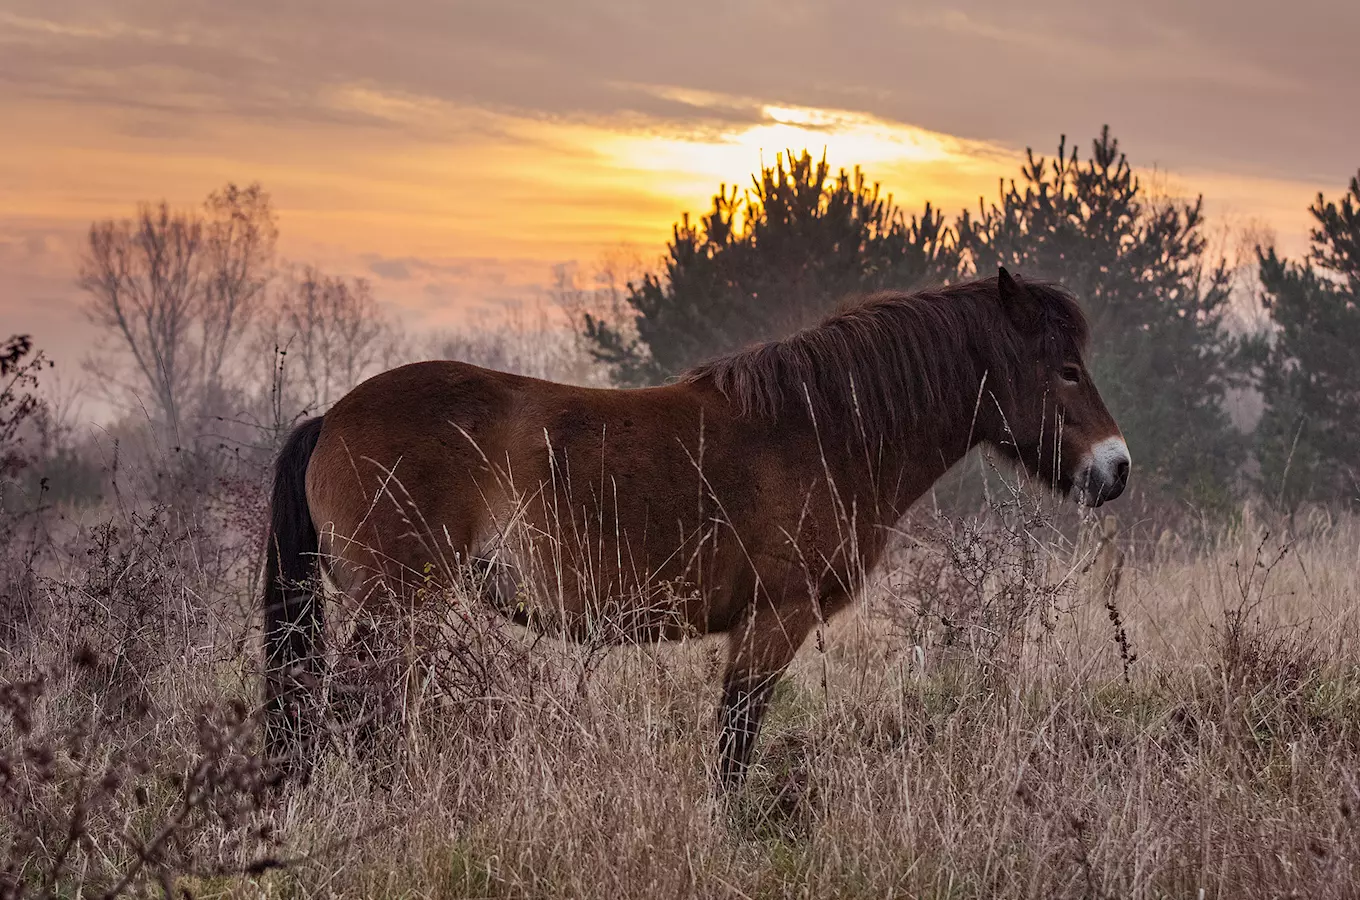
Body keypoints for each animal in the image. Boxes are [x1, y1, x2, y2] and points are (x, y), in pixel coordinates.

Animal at [259, 269, 1131, 788]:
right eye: (1065, 370)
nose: (1116, 468)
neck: (818, 431)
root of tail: (332, 417)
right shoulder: (775, 620)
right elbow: (735, 741)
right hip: (395, 604)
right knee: (357, 712)